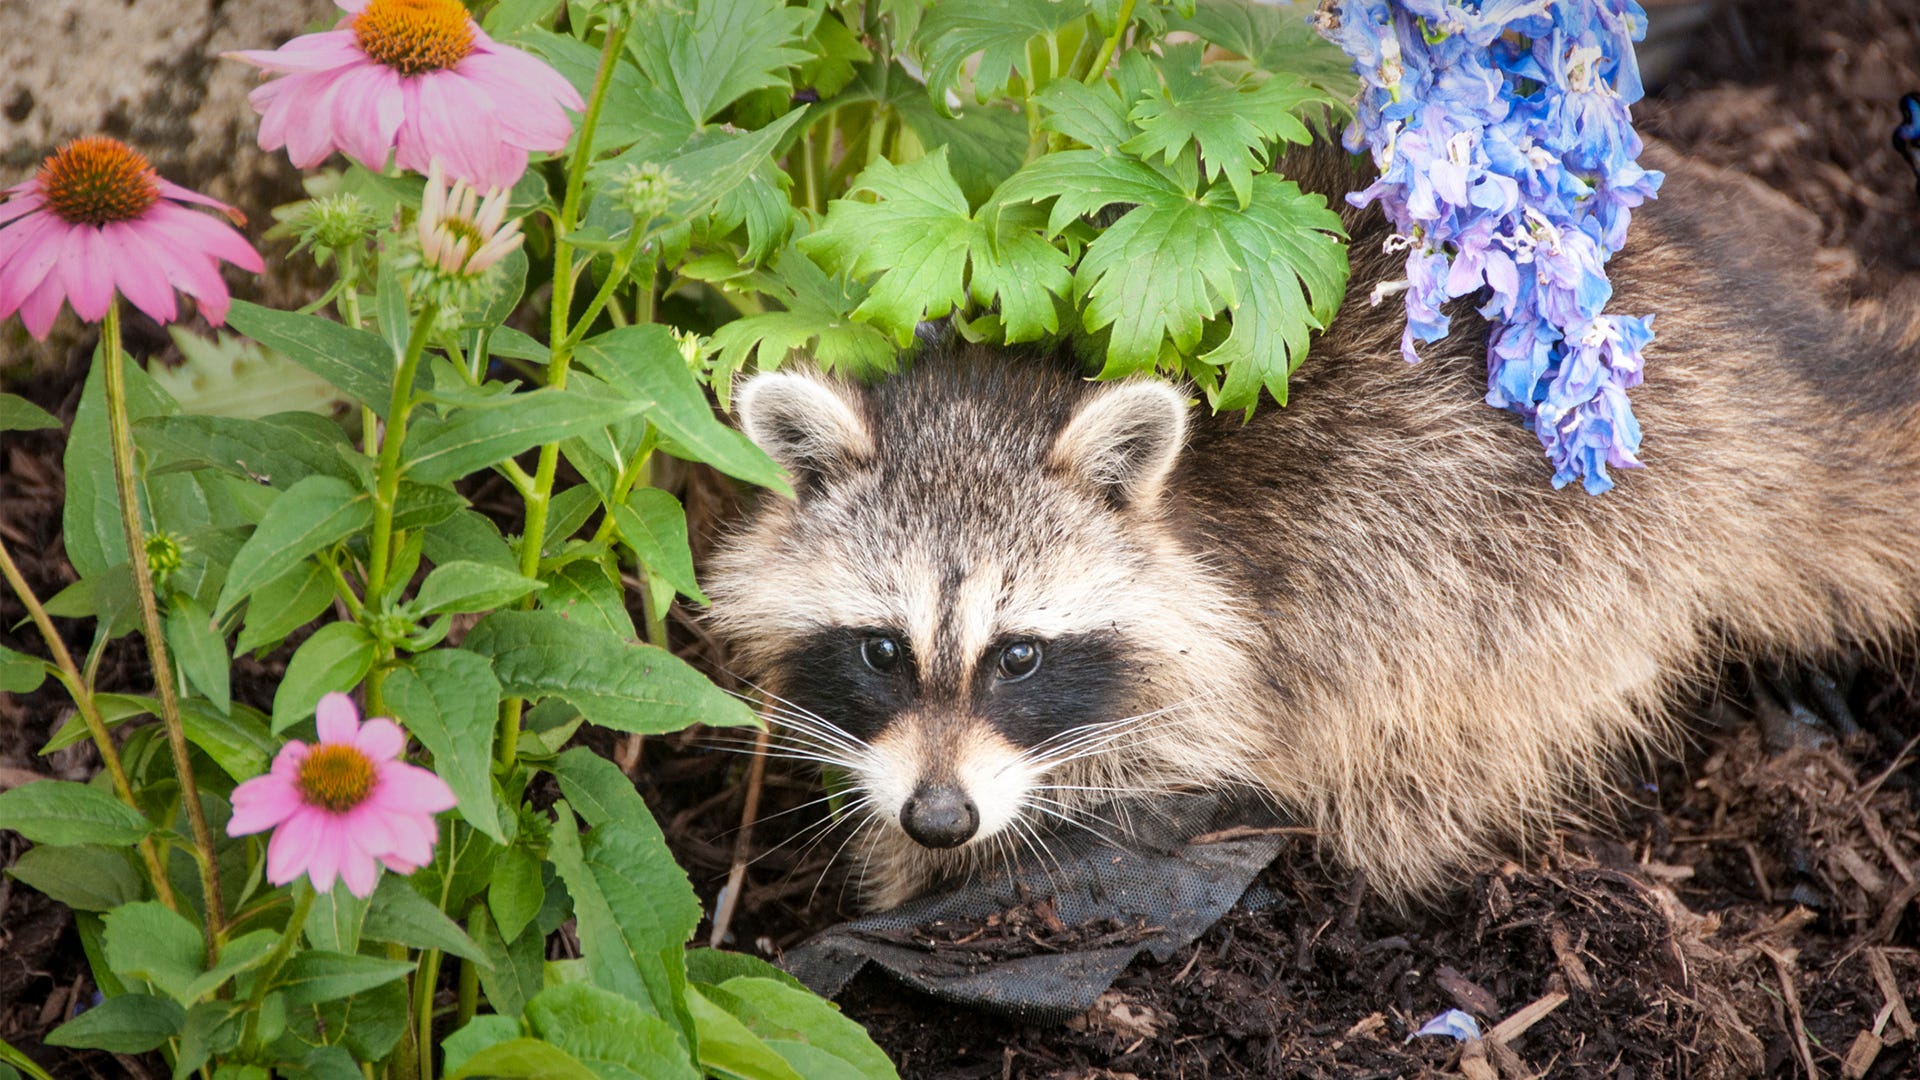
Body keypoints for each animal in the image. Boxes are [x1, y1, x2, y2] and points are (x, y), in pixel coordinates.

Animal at [702, 138, 1920, 903]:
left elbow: (1174, 750)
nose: (940, 818)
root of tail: (1749, 378)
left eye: (1020, 657)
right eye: (881, 649)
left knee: (1435, 731)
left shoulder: (1258, 631)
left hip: (1548, 563)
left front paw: (935, 862)